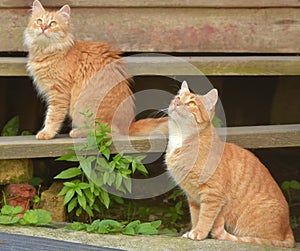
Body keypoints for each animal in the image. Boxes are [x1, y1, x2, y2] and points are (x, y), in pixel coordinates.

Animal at [24, 0, 168, 139]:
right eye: (39, 21)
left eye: (53, 23)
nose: (43, 27)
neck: (46, 51)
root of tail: (129, 125)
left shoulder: (59, 93)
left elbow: (52, 116)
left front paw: (47, 133)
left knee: (106, 133)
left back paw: (77, 132)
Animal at [166, 81, 296, 248]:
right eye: (178, 97)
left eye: (191, 103)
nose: (177, 103)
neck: (181, 138)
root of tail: (288, 229)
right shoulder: (193, 198)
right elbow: (196, 217)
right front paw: (193, 230)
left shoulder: (212, 195)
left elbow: (205, 217)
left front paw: (199, 233)